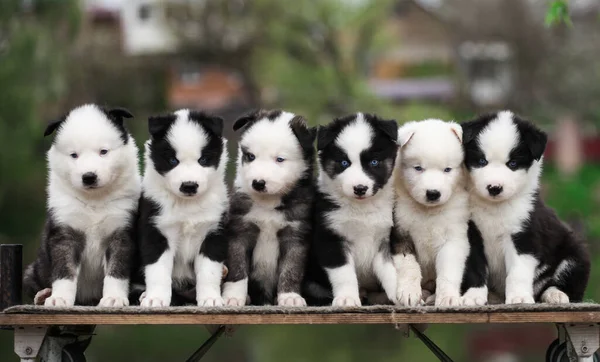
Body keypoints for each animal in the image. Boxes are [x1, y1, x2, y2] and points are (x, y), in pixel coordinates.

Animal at [23, 103, 141, 306]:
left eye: (103, 151)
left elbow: (116, 271)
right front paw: (59, 298)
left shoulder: (121, 229)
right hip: (34, 270)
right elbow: (64, 271)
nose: (89, 177)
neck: (94, 199)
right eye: (74, 155)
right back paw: (44, 294)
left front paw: (114, 298)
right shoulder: (65, 231)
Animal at [138, 109, 230, 306]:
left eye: (203, 159)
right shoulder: (157, 230)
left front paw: (210, 299)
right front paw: (155, 299)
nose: (189, 186)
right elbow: (158, 270)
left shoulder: (213, 230)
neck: (187, 205)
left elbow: (209, 271)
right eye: (173, 160)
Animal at [221, 109, 316, 306]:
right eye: (250, 156)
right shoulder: (239, 230)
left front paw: (290, 296)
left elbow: (291, 269)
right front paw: (233, 296)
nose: (258, 183)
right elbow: (237, 267)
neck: (268, 202)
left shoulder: (295, 234)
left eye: (280, 159)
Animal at [308, 112, 400, 306]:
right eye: (344, 163)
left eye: (374, 162)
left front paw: (400, 293)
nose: (360, 188)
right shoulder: (331, 238)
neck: (361, 208)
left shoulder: (384, 239)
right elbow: (344, 274)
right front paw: (347, 299)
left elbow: (390, 270)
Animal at [462, 111, 588, 304]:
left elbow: (518, 272)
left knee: (569, 284)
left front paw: (519, 298)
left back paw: (555, 294)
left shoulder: (524, 235)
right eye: (482, 161)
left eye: (513, 164)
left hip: (575, 251)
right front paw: (473, 297)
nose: (494, 188)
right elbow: (475, 268)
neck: (495, 207)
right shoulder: (472, 233)